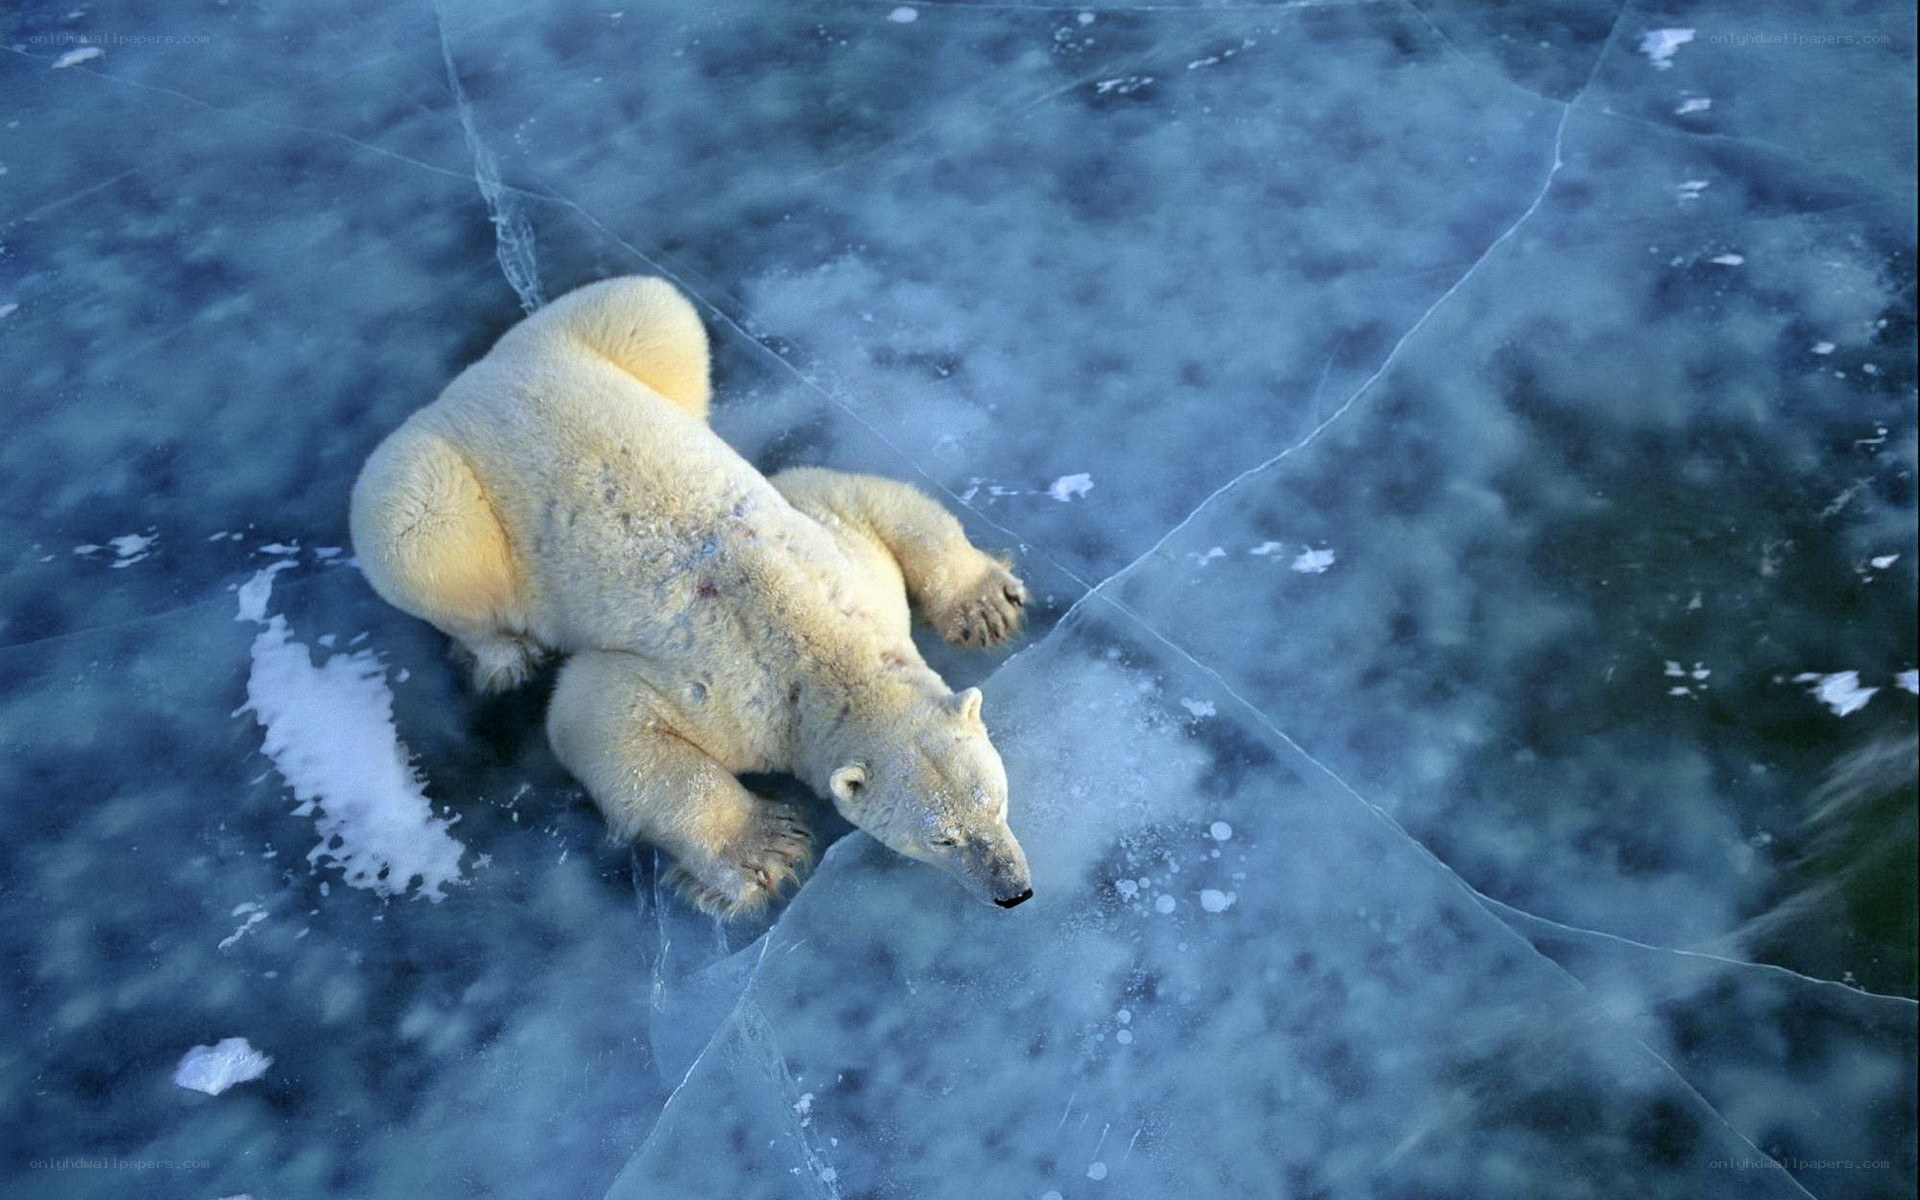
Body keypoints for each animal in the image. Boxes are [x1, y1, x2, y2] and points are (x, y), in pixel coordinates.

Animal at [349, 276, 1033, 917]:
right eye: (940, 838)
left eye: (995, 800)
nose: (1014, 891)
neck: (821, 645)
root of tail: (465, 388)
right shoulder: (734, 695)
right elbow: (599, 714)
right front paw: (766, 848)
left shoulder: (846, 566)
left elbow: (857, 496)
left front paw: (986, 607)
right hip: (438, 492)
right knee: (419, 535)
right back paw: (501, 655)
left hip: (590, 337)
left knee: (656, 313)